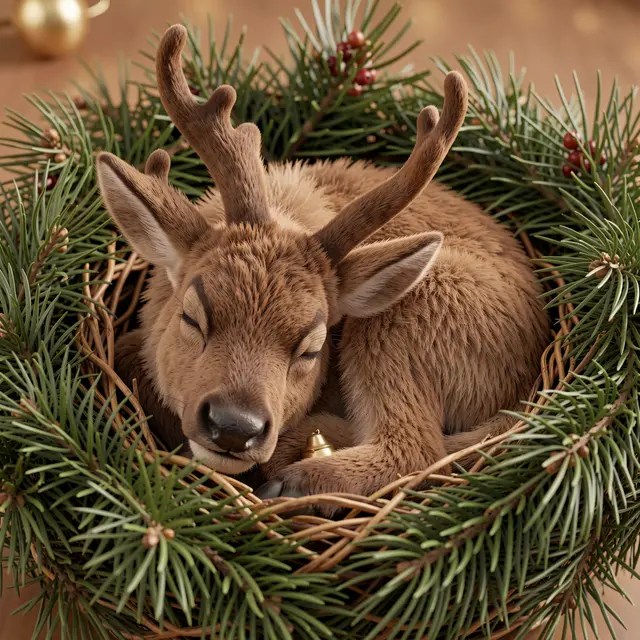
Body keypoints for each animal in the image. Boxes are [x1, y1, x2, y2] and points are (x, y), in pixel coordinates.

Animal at [96, 24, 549, 512]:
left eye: (311, 349)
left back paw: (297, 477)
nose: (235, 427)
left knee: (415, 448)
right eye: (192, 317)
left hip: (411, 313)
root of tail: (531, 369)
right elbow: (127, 352)